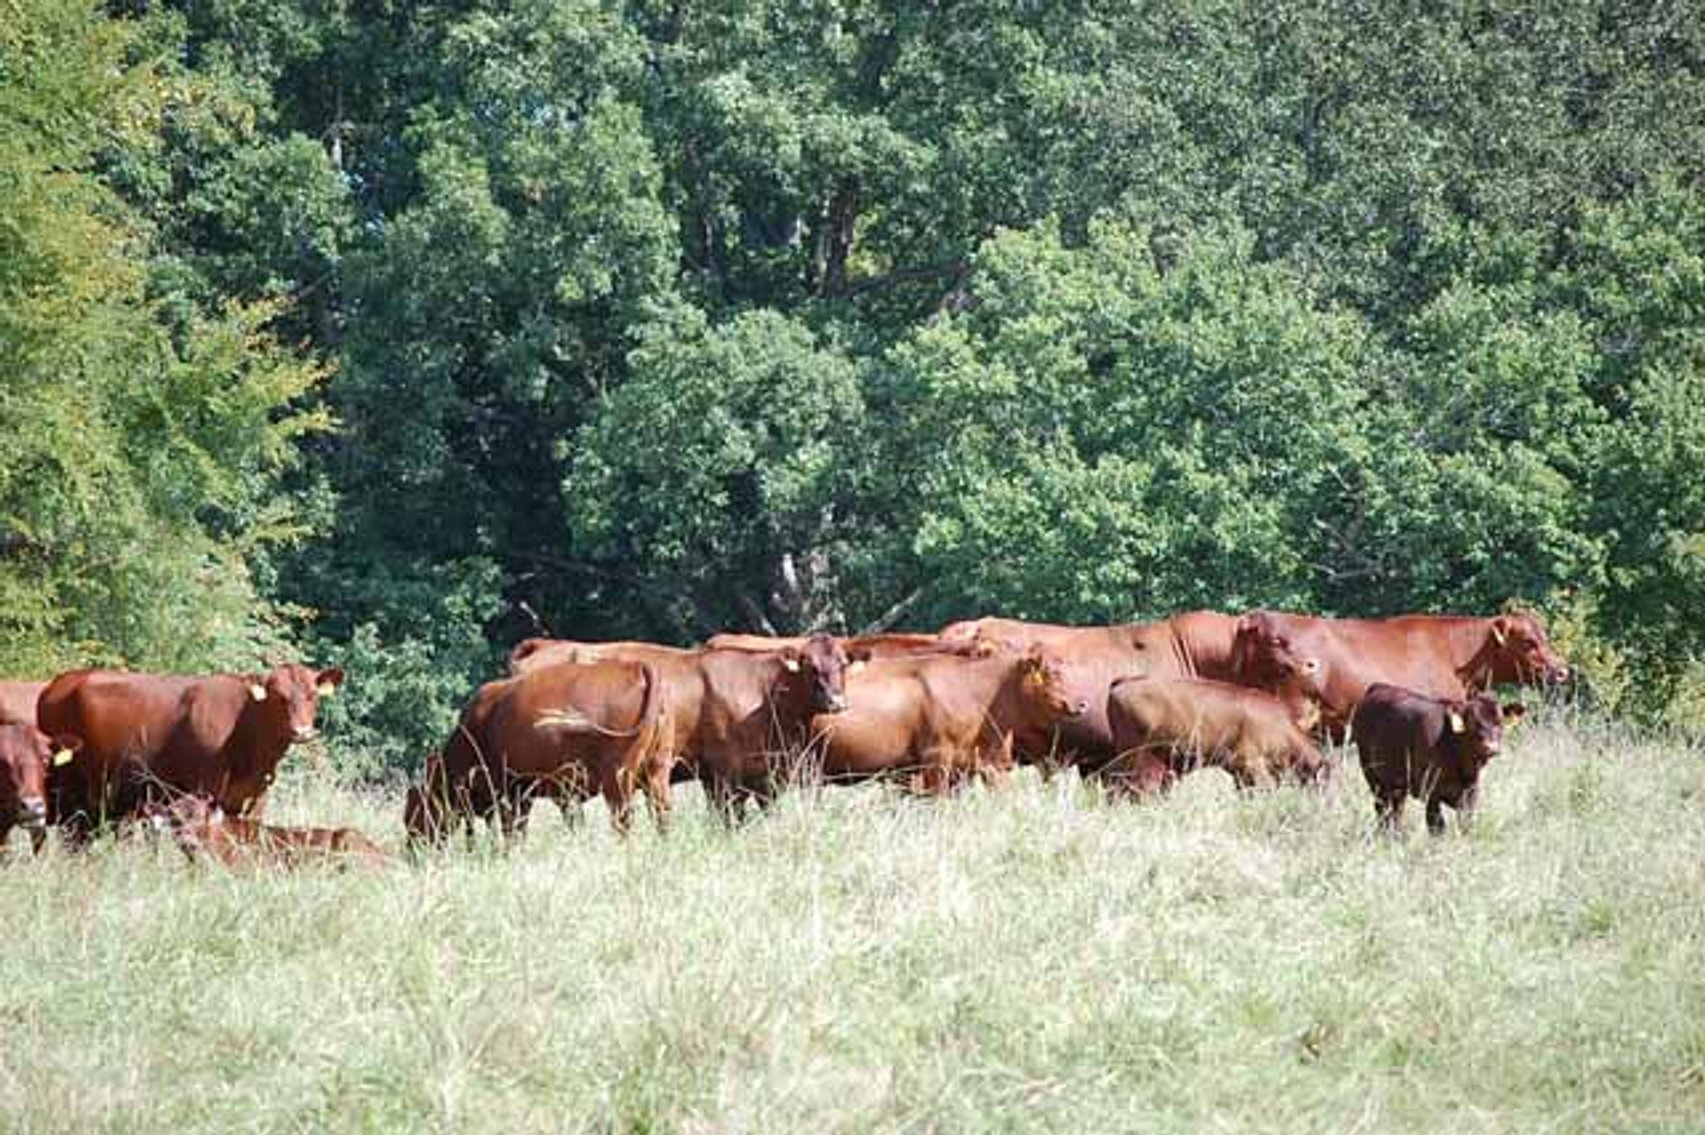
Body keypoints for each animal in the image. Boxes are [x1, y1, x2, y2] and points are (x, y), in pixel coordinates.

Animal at [36, 663, 344, 841]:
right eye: (279, 697)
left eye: (313, 696)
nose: (302, 731)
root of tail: (60, 683)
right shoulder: (204, 790)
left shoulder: (255, 799)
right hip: (68, 790)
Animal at [405, 658, 668, 844]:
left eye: (415, 812)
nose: (412, 851)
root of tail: (634, 666)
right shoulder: (529, 792)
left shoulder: (507, 789)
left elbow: (510, 829)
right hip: (656, 773)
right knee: (661, 813)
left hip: (618, 780)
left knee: (624, 820)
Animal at [503, 634, 861, 816]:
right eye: (809, 665)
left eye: (842, 664)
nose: (837, 702)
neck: (762, 691)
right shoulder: (724, 771)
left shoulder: (761, 773)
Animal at [1352, 683, 1524, 834]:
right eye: (1473, 723)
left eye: (1499, 722)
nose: (1491, 747)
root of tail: (1377, 688)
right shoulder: (1431, 792)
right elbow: (1437, 828)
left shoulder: (1471, 792)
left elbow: (1466, 825)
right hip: (1372, 774)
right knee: (1382, 809)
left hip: (1397, 783)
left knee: (1396, 810)